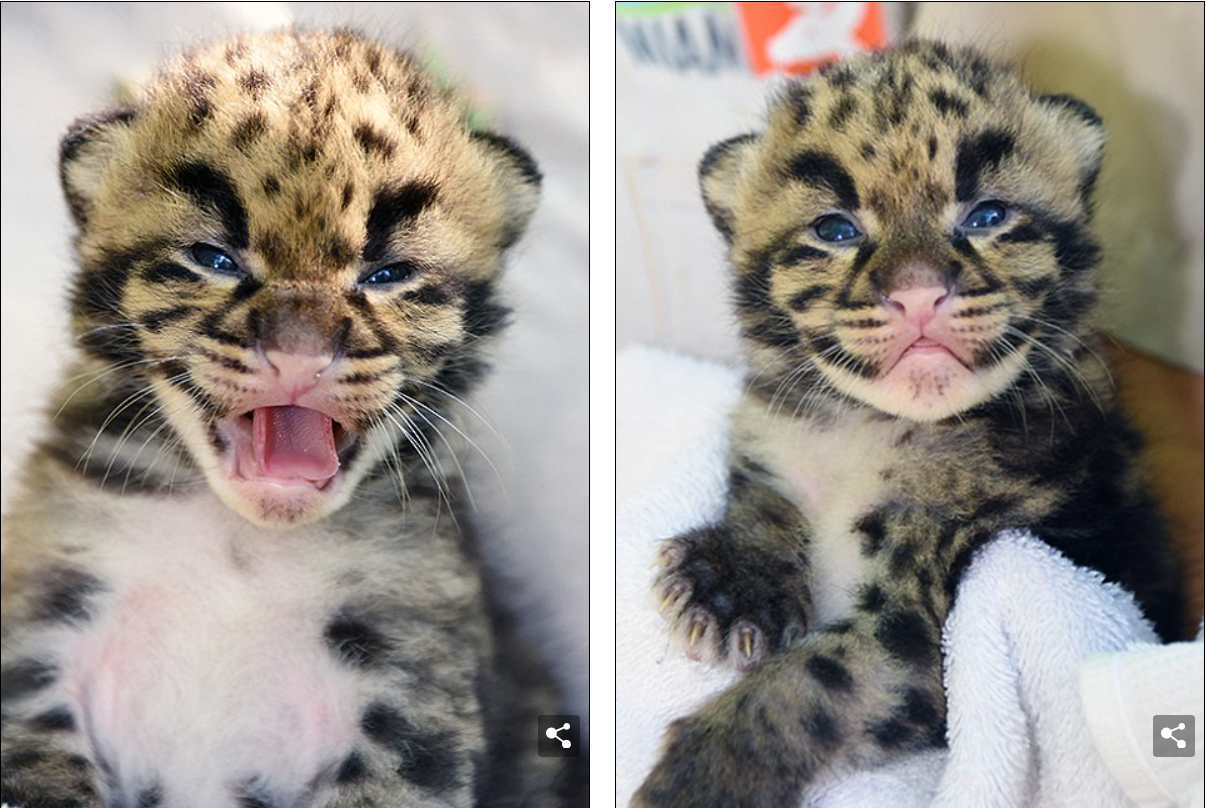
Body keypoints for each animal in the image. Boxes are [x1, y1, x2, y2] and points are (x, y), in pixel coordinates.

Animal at [0, 28, 575, 808]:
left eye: (388, 273)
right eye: (213, 257)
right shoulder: (35, 637)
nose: (299, 353)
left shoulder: (414, 675)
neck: (241, 539)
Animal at [634, 40, 1184, 808]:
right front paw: (733, 577)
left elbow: (819, 681)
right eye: (834, 228)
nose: (919, 290)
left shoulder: (937, 629)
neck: (871, 428)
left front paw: (702, 771)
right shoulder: (773, 442)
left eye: (986, 215)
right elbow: (760, 501)